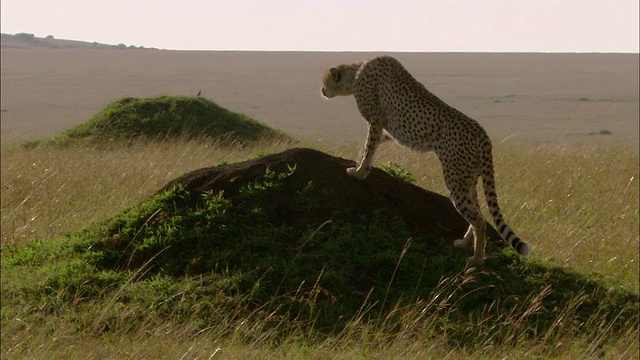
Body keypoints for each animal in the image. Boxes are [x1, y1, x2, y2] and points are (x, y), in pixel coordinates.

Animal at [320, 57, 528, 264]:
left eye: (324, 80)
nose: (322, 90)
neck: (356, 71)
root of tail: (481, 132)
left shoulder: (376, 120)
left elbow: (368, 147)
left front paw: (358, 172)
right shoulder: (387, 130)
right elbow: (367, 148)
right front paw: (361, 166)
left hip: (455, 181)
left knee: (479, 220)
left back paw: (476, 259)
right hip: (467, 179)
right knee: (479, 214)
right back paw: (463, 244)